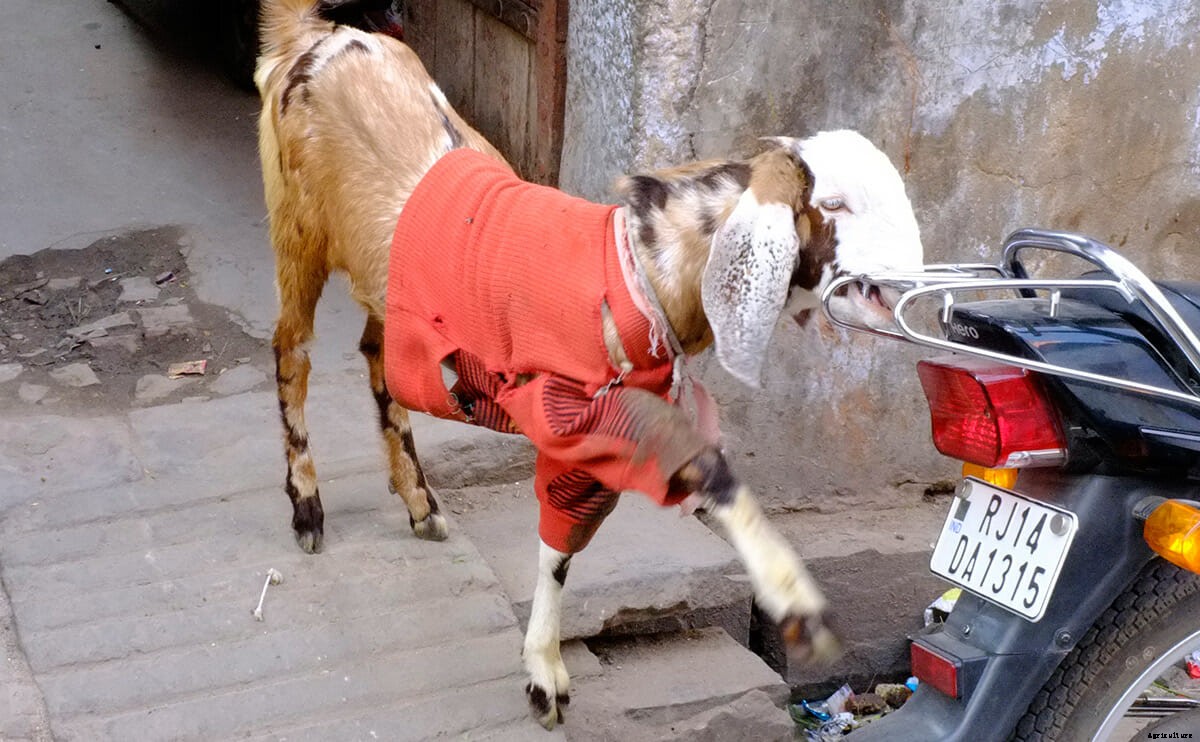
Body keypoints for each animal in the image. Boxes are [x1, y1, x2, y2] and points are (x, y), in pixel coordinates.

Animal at [256, 0, 924, 729]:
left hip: (391, 286)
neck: (643, 270)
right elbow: (688, 478)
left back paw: (418, 501)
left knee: (379, 359)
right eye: (833, 204)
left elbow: (577, 538)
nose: (914, 277)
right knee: (290, 351)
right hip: (296, 231)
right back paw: (307, 507)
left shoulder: (617, 427)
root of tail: (315, 36)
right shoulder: (576, 412)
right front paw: (796, 604)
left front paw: (545, 669)